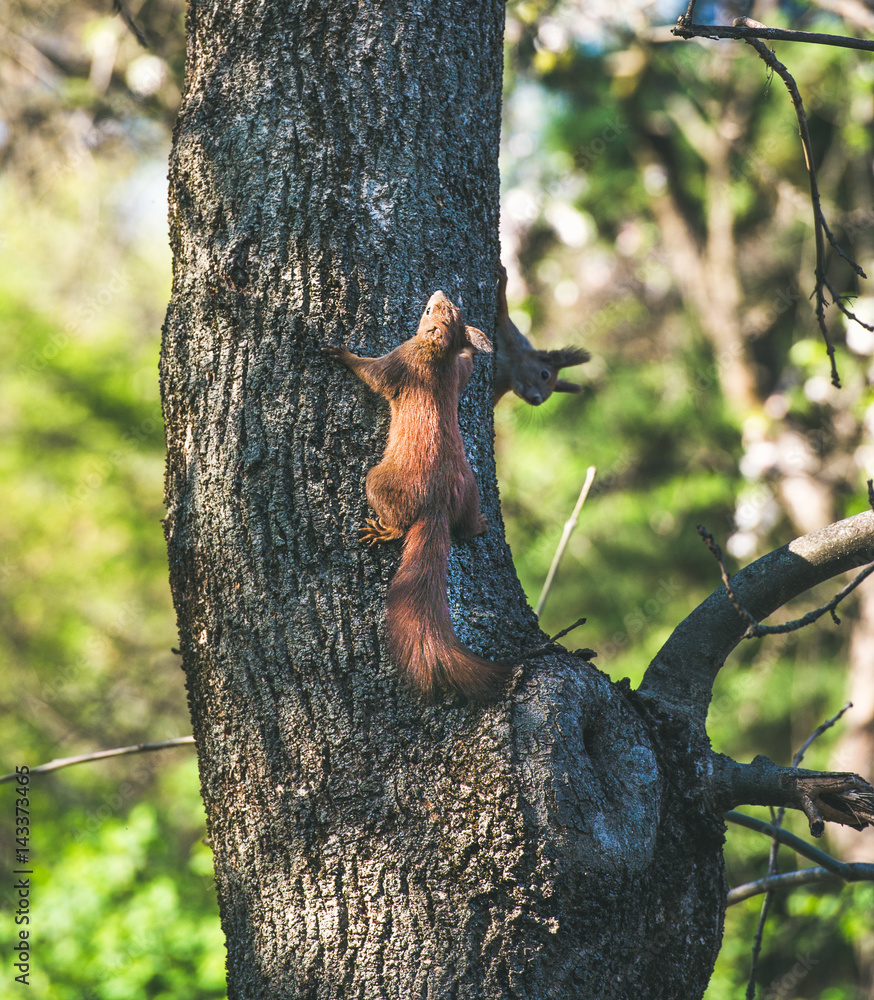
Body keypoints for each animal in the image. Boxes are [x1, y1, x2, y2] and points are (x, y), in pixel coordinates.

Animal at [324, 286, 508, 700]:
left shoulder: (401, 360)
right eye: (451, 308)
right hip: (469, 488)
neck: (439, 357)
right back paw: (479, 523)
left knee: (397, 524)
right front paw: (473, 352)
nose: (438, 290)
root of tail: (437, 504)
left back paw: (381, 531)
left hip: (377, 482)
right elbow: (465, 370)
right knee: (465, 525)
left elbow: (373, 373)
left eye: (428, 312)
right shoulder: (454, 373)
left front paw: (343, 355)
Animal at [494, 268, 588, 408]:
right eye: (545, 374)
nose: (537, 400)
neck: (509, 369)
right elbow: (503, 309)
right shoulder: (511, 336)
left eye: (548, 395)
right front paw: (503, 282)